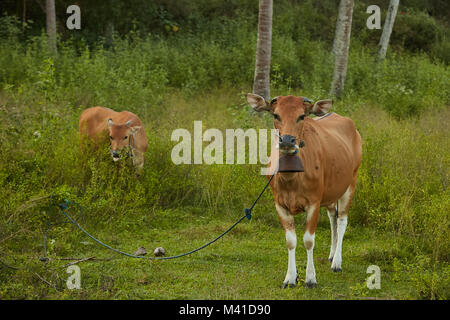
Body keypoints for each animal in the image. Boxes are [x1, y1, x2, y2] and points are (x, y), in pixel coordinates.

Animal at [246, 92, 362, 288]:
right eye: (276, 115)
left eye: (302, 116)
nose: (287, 140)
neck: (292, 178)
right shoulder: (280, 205)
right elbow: (290, 241)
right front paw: (290, 278)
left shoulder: (314, 203)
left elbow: (308, 240)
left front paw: (310, 278)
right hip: (331, 192)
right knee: (332, 217)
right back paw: (331, 255)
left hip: (350, 183)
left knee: (342, 220)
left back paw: (337, 262)